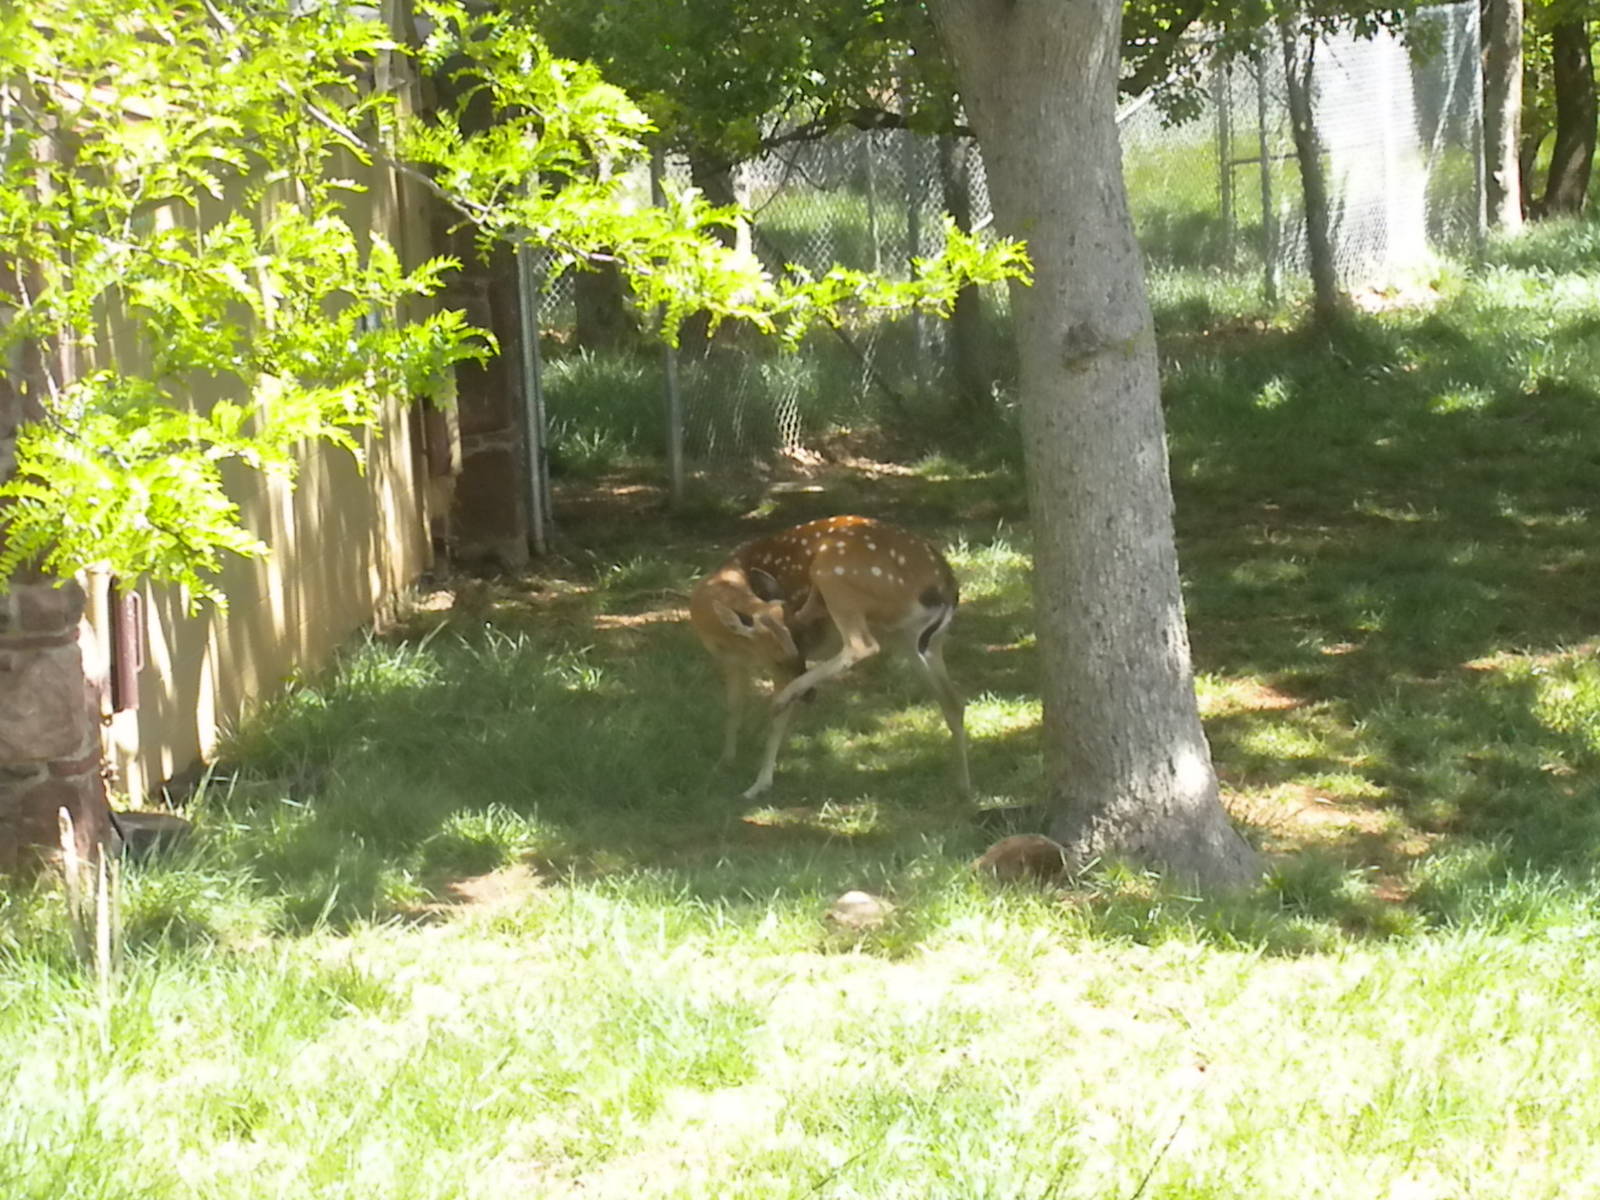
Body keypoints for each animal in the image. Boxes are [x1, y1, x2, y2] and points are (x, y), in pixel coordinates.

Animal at [688, 515, 970, 800]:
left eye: (798, 650)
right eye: (785, 655)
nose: (810, 695)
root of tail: (947, 584)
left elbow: (775, 719)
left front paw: (758, 784)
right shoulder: (733, 662)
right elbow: (734, 708)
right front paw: (726, 762)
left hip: (836, 576)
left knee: (862, 644)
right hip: (919, 641)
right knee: (954, 702)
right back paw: (963, 786)